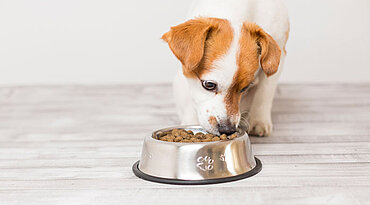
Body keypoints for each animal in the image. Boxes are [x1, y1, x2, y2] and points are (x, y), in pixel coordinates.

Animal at [162, 0, 290, 136]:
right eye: (209, 85)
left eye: (245, 88)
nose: (227, 130)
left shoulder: (278, 55)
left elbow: (264, 93)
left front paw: (259, 121)